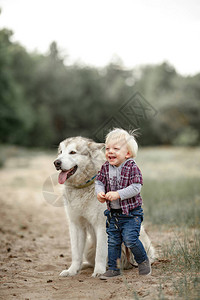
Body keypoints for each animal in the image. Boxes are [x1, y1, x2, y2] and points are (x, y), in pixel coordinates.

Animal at [53, 136, 155, 276]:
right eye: (60, 152)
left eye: (72, 152)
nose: (56, 162)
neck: (83, 186)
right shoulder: (76, 225)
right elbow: (76, 254)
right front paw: (72, 271)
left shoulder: (102, 225)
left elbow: (101, 253)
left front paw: (99, 272)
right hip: (89, 248)